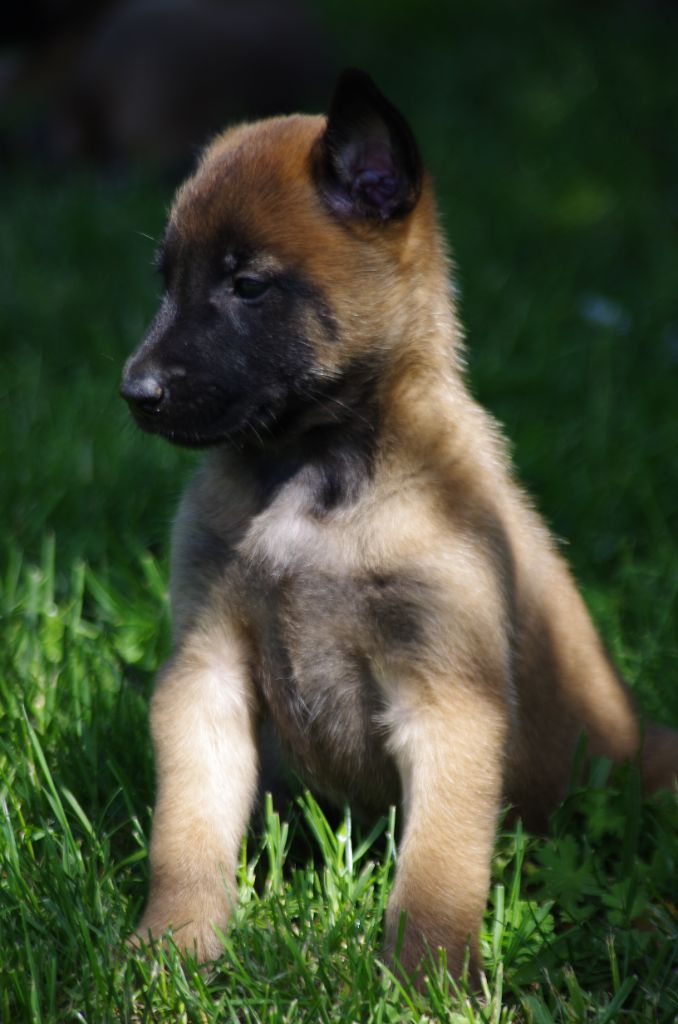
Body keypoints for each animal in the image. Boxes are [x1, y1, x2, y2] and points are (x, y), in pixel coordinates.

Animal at [122, 72, 678, 983]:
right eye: (166, 281)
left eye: (248, 286)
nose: (136, 392)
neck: (314, 480)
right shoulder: (206, 674)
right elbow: (188, 833)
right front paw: (174, 944)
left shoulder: (449, 697)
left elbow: (438, 868)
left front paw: (426, 980)